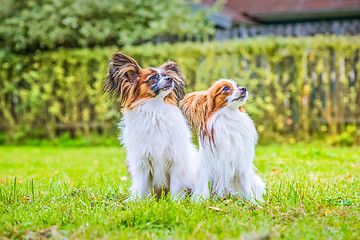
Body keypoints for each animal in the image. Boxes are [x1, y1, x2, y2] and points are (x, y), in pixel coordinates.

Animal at [102, 53, 195, 201]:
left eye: (165, 75)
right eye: (152, 77)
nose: (170, 79)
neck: (156, 110)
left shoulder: (175, 160)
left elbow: (175, 186)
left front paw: (174, 203)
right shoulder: (142, 162)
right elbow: (141, 187)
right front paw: (138, 203)